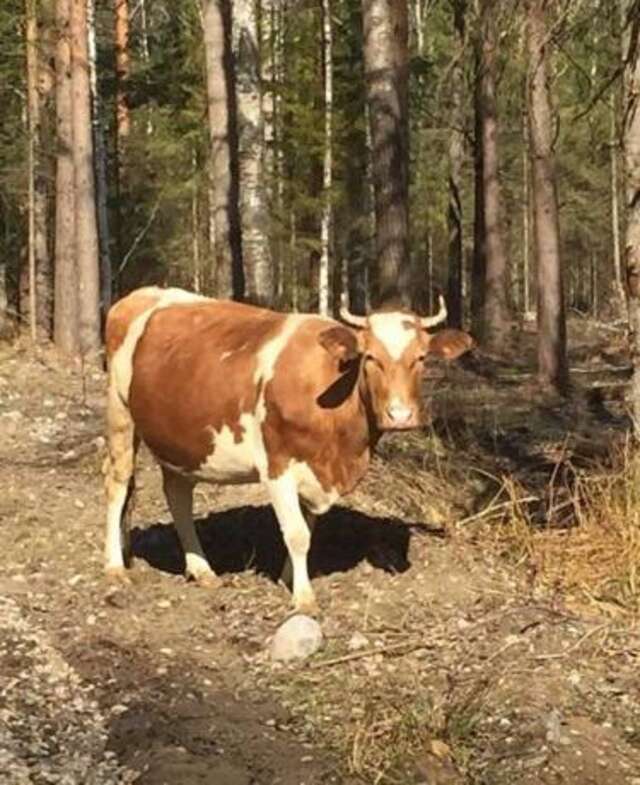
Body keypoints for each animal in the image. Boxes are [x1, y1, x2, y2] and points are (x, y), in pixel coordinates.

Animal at [104, 284, 476, 608]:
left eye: (422, 358)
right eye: (370, 357)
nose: (400, 416)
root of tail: (141, 295)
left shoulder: (315, 469)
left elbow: (307, 529)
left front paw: (288, 579)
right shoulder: (278, 465)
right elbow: (297, 534)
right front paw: (304, 598)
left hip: (181, 441)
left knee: (178, 495)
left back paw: (201, 569)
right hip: (120, 413)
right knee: (117, 484)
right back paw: (114, 567)